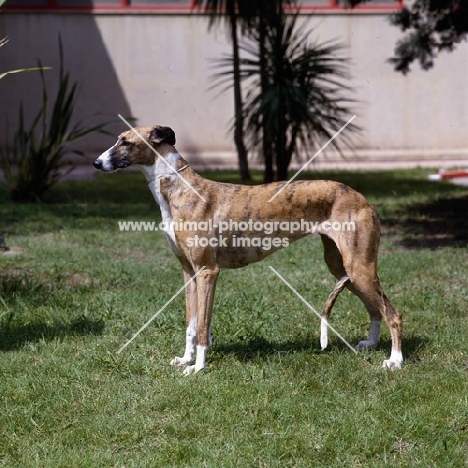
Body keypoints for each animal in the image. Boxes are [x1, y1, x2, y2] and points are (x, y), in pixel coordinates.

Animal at [94, 124, 402, 372]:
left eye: (125, 141)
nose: (96, 163)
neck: (179, 188)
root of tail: (362, 198)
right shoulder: (189, 272)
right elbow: (192, 324)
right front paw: (186, 359)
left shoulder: (208, 271)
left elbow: (203, 327)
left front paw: (198, 367)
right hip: (342, 267)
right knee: (375, 309)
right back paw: (371, 343)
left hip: (359, 268)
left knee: (393, 313)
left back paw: (395, 360)